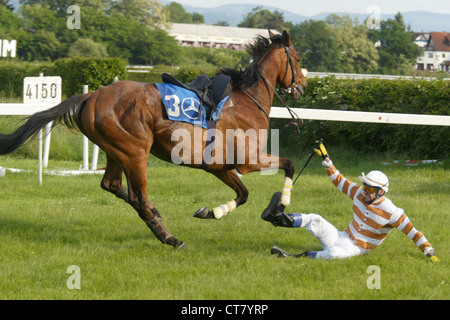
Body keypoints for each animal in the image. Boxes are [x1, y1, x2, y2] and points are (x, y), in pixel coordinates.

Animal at [0, 29, 306, 250]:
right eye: (299, 58)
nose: (302, 86)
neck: (247, 99)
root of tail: (91, 96)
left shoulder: (219, 166)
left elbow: (242, 194)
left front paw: (212, 212)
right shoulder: (249, 160)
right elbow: (289, 165)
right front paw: (279, 210)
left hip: (116, 150)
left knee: (112, 184)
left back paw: (158, 217)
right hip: (135, 152)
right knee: (139, 197)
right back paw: (170, 238)